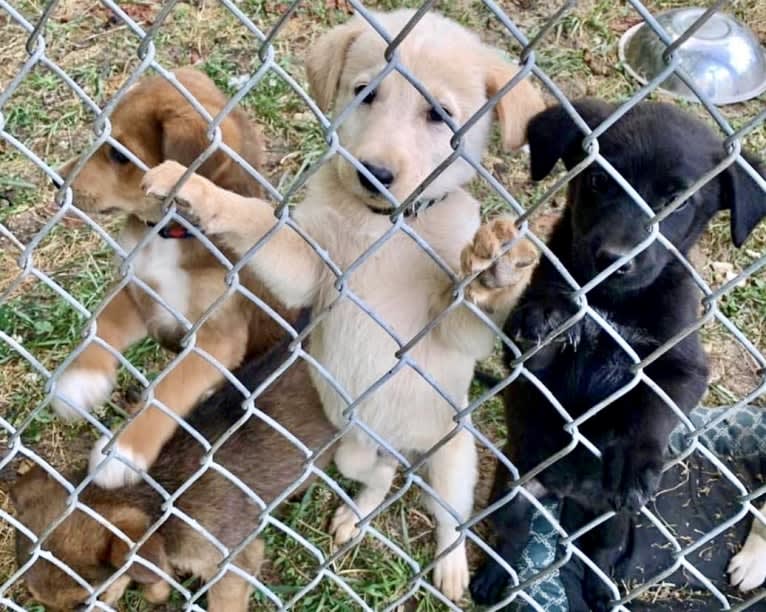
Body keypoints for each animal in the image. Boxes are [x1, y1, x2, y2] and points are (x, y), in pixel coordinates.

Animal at [50, 67, 296, 488]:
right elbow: (103, 324)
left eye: (119, 154)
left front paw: (124, 452)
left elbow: (170, 389)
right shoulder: (142, 294)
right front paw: (78, 382)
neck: (169, 236)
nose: (57, 180)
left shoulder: (217, 337)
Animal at [472, 98, 764, 608]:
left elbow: (653, 405)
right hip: (511, 489)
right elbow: (536, 348)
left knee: (603, 550)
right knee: (511, 535)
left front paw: (633, 456)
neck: (609, 301)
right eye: (597, 180)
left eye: (677, 202)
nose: (613, 258)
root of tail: (567, 493)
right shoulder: (524, 362)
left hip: (614, 518)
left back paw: (601, 587)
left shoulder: (683, 367)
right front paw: (547, 315)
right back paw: (493, 578)